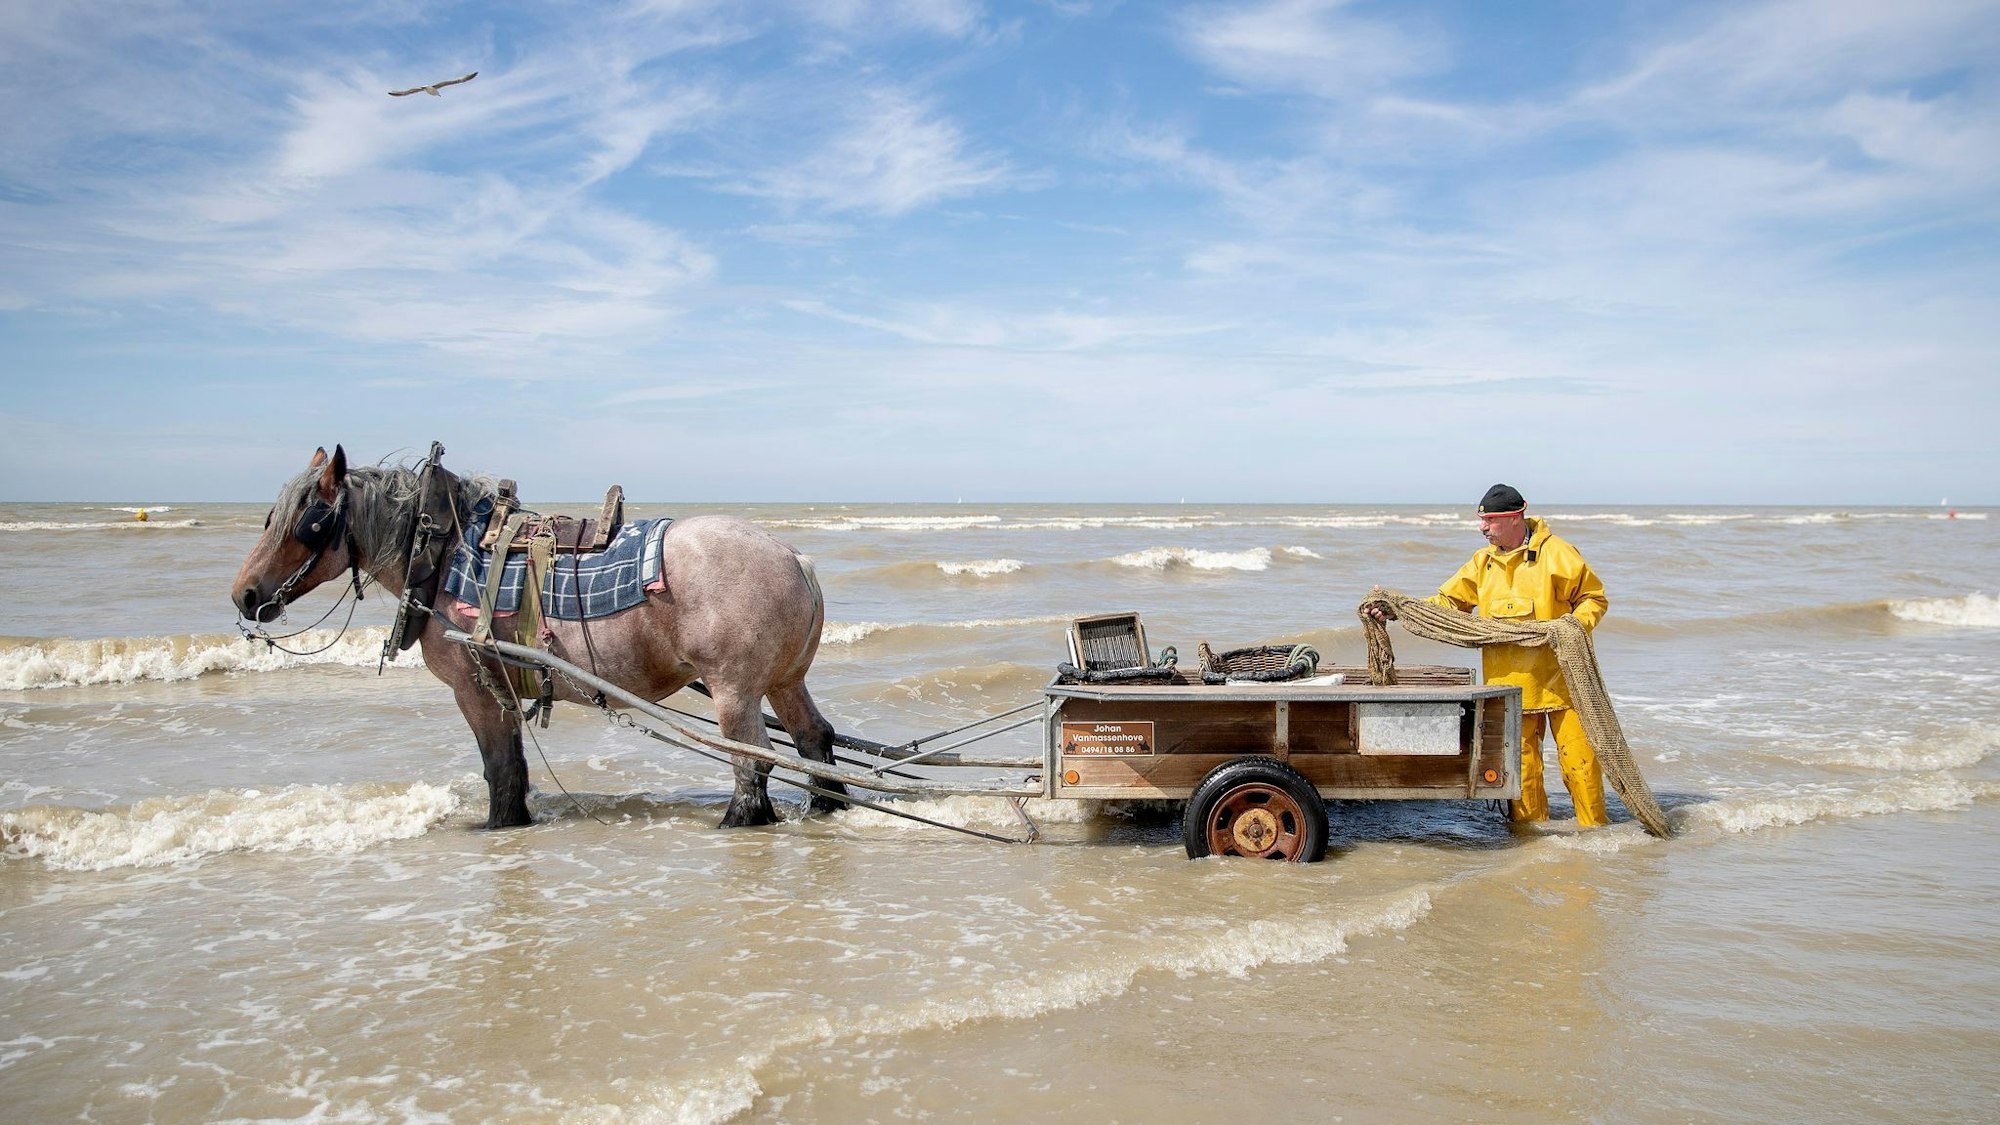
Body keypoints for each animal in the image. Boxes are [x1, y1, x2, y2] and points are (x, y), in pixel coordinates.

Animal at [232, 445, 847, 830]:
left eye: (308, 523)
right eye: (268, 518)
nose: (243, 595)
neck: (443, 554)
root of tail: (795, 559)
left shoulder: (475, 689)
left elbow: (500, 769)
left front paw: (498, 827)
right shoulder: (501, 689)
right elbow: (514, 768)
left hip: (733, 690)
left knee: (753, 763)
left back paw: (738, 820)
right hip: (783, 682)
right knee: (814, 741)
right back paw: (825, 807)